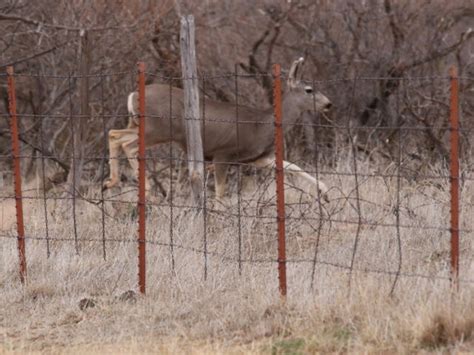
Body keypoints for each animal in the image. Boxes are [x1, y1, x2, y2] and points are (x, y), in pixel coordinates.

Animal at [103, 58, 334, 203]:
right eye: (309, 90)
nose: (329, 103)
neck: (263, 124)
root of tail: (133, 95)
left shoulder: (257, 158)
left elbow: (293, 166)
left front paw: (324, 192)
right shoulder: (223, 153)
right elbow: (221, 193)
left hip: (139, 125)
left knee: (114, 134)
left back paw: (111, 181)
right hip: (158, 128)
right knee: (128, 144)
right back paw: (147, 190)